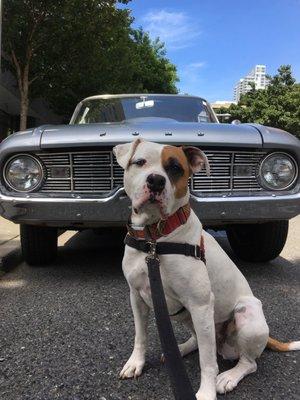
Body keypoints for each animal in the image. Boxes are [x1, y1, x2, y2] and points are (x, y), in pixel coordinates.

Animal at [113, 139, 300, 398]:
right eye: (139, 162)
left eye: (175, 168)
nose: (156, 181)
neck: (155, 239)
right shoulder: (137, 297)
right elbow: (140, 335)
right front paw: (135, 363)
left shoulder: (201, 305)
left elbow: (208, 361)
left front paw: (206, 392)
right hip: (189, 317)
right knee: (198, 341)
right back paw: (179, 350)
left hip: (246, 315)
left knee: (247, 362)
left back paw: (229, 377)